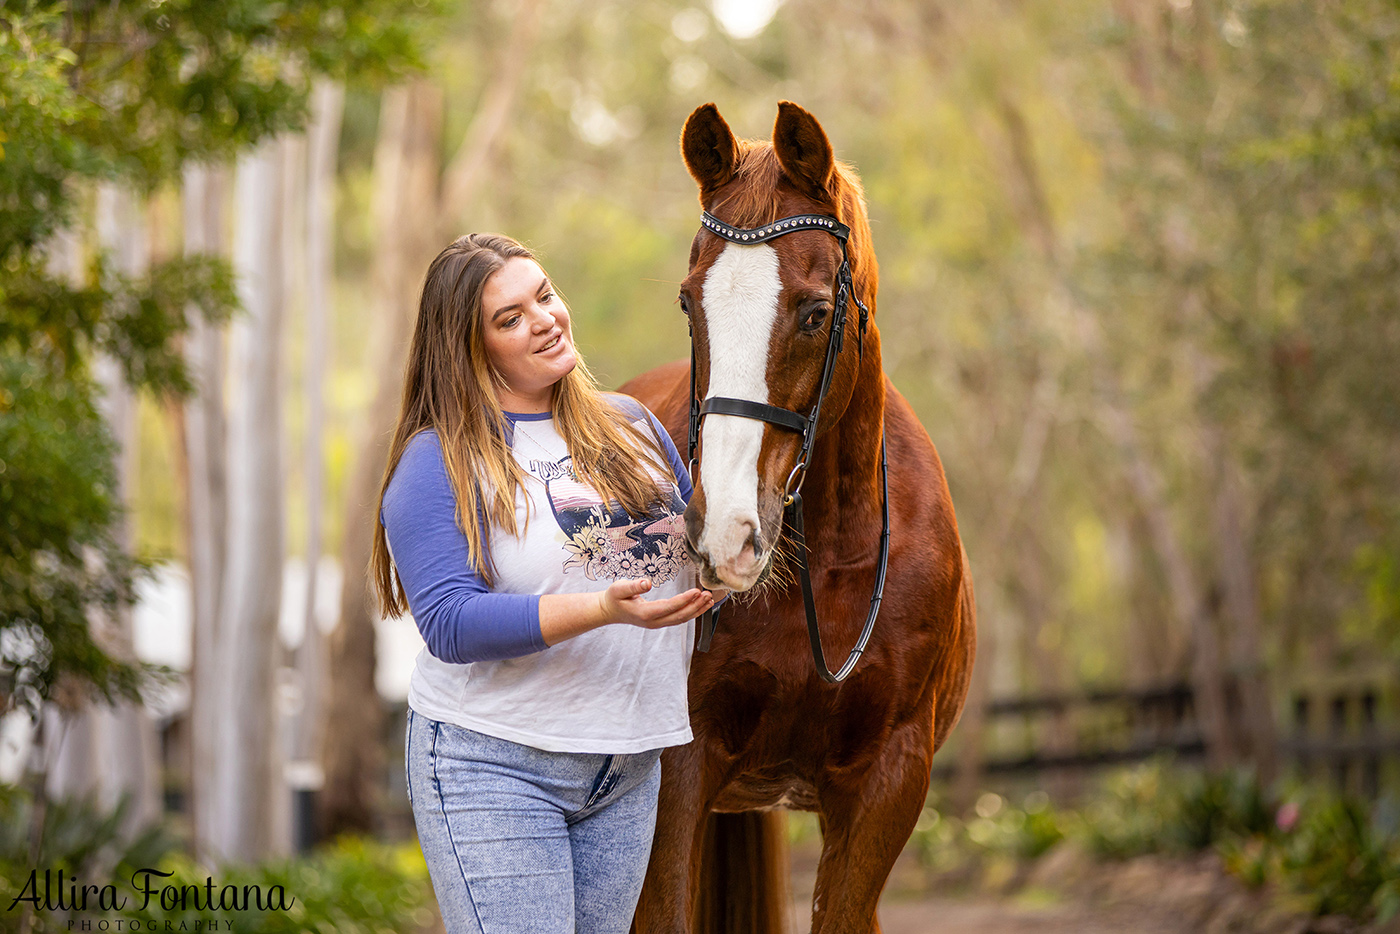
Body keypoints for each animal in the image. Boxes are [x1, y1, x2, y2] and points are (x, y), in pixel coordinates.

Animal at [618, 102, 980, 934]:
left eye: (817, 313)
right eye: (689, 303)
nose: (722, 534)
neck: (827, 563)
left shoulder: (887, 782)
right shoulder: (679, 769)